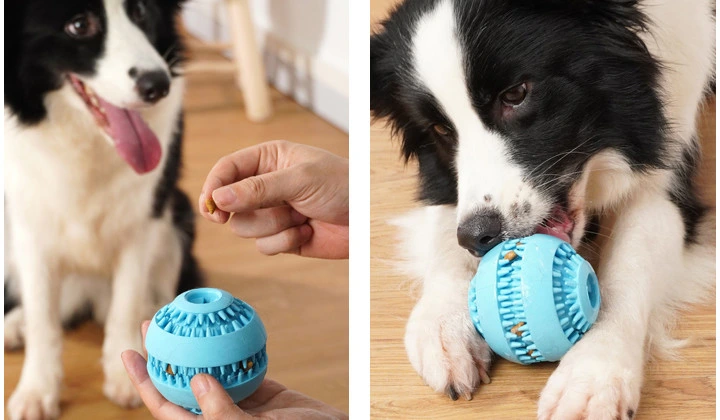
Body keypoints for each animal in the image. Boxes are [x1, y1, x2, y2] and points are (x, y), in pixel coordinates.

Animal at [4, 1, 201, 418]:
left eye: (142, 12)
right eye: (79, 26)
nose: (158, 85)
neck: (85, 139)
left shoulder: (143, 218)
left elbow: (126, 300)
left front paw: (128, 375)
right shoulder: (29, 224)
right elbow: (42, 315)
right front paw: (37, 390)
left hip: (181, 214)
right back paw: (15, 325)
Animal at [372, 1, 716, 418]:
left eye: (516, 93)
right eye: (440, 129)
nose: (477, 237)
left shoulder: (666, 177)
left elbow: (631, 265)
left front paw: (593, 375)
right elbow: (443, 226)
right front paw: (444, 325)